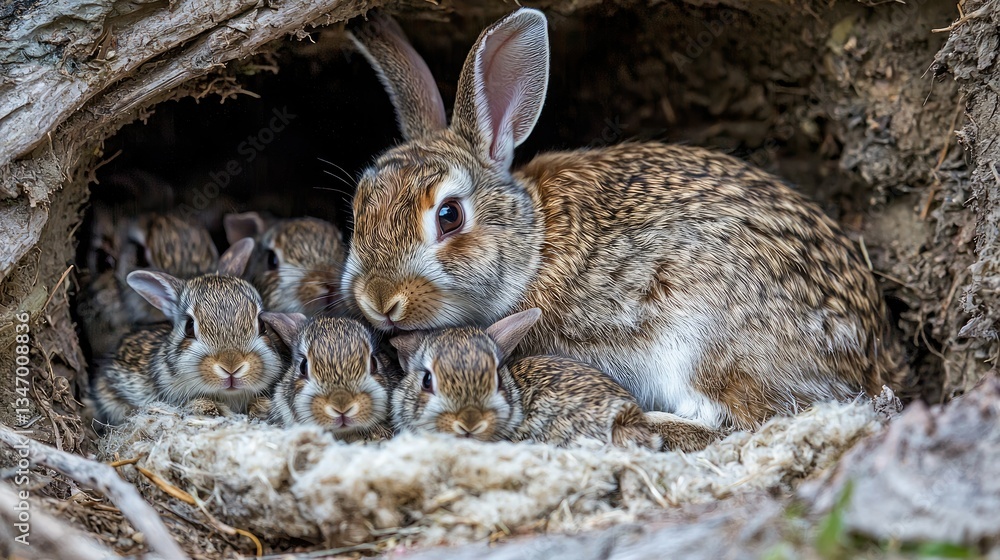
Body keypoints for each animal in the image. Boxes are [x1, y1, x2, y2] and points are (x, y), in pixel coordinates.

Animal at [341, 8, 905, 433]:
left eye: (450, 216)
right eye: (358, 206)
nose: (380, 300)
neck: (534, 243)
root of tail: (872, 359)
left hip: (704, 348)